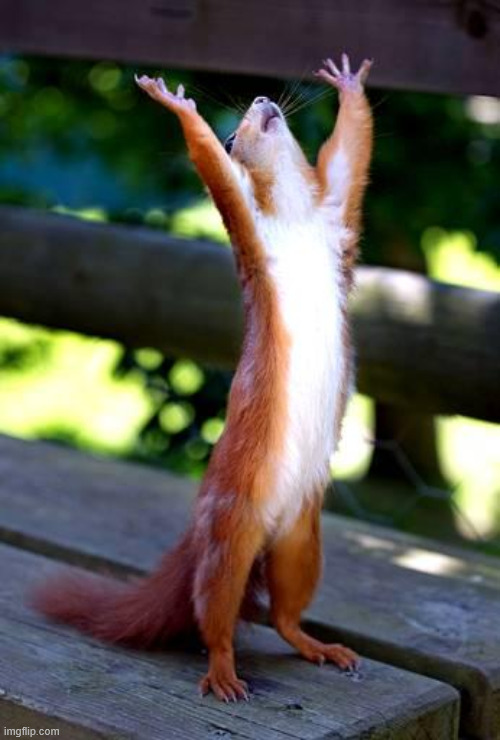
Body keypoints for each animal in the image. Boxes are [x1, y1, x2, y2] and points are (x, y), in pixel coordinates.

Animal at [33, 54, 373, 702]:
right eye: (235, 134)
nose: (262, 99)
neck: (296, 215)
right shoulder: (250, 230)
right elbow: (215, 172)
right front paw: (176, 104)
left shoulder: (336, 214)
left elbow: (350, 154)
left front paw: (348, 86)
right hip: (230, 535)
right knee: (213, 612)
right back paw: (222, 671)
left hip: (301, 540)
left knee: (285, 612)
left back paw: (318, 645)